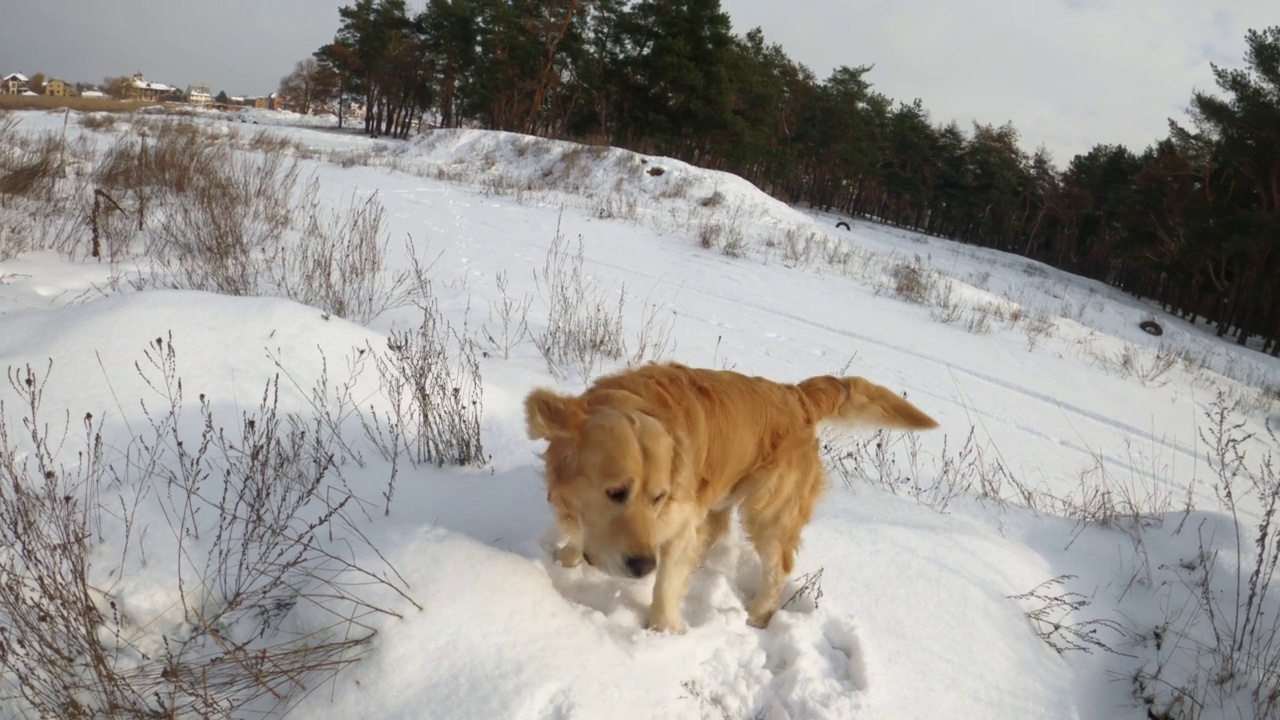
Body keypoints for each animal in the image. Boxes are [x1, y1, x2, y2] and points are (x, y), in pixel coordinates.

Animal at [522, 361, 942, 630]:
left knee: (777, 567)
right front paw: (567, 557)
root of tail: (795, 395)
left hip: (770, 511)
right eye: (615, 492)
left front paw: (662, 630)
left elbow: (668, 582)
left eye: (658, 498)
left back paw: (757, 614)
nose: (642, 566)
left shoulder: (680, 522)